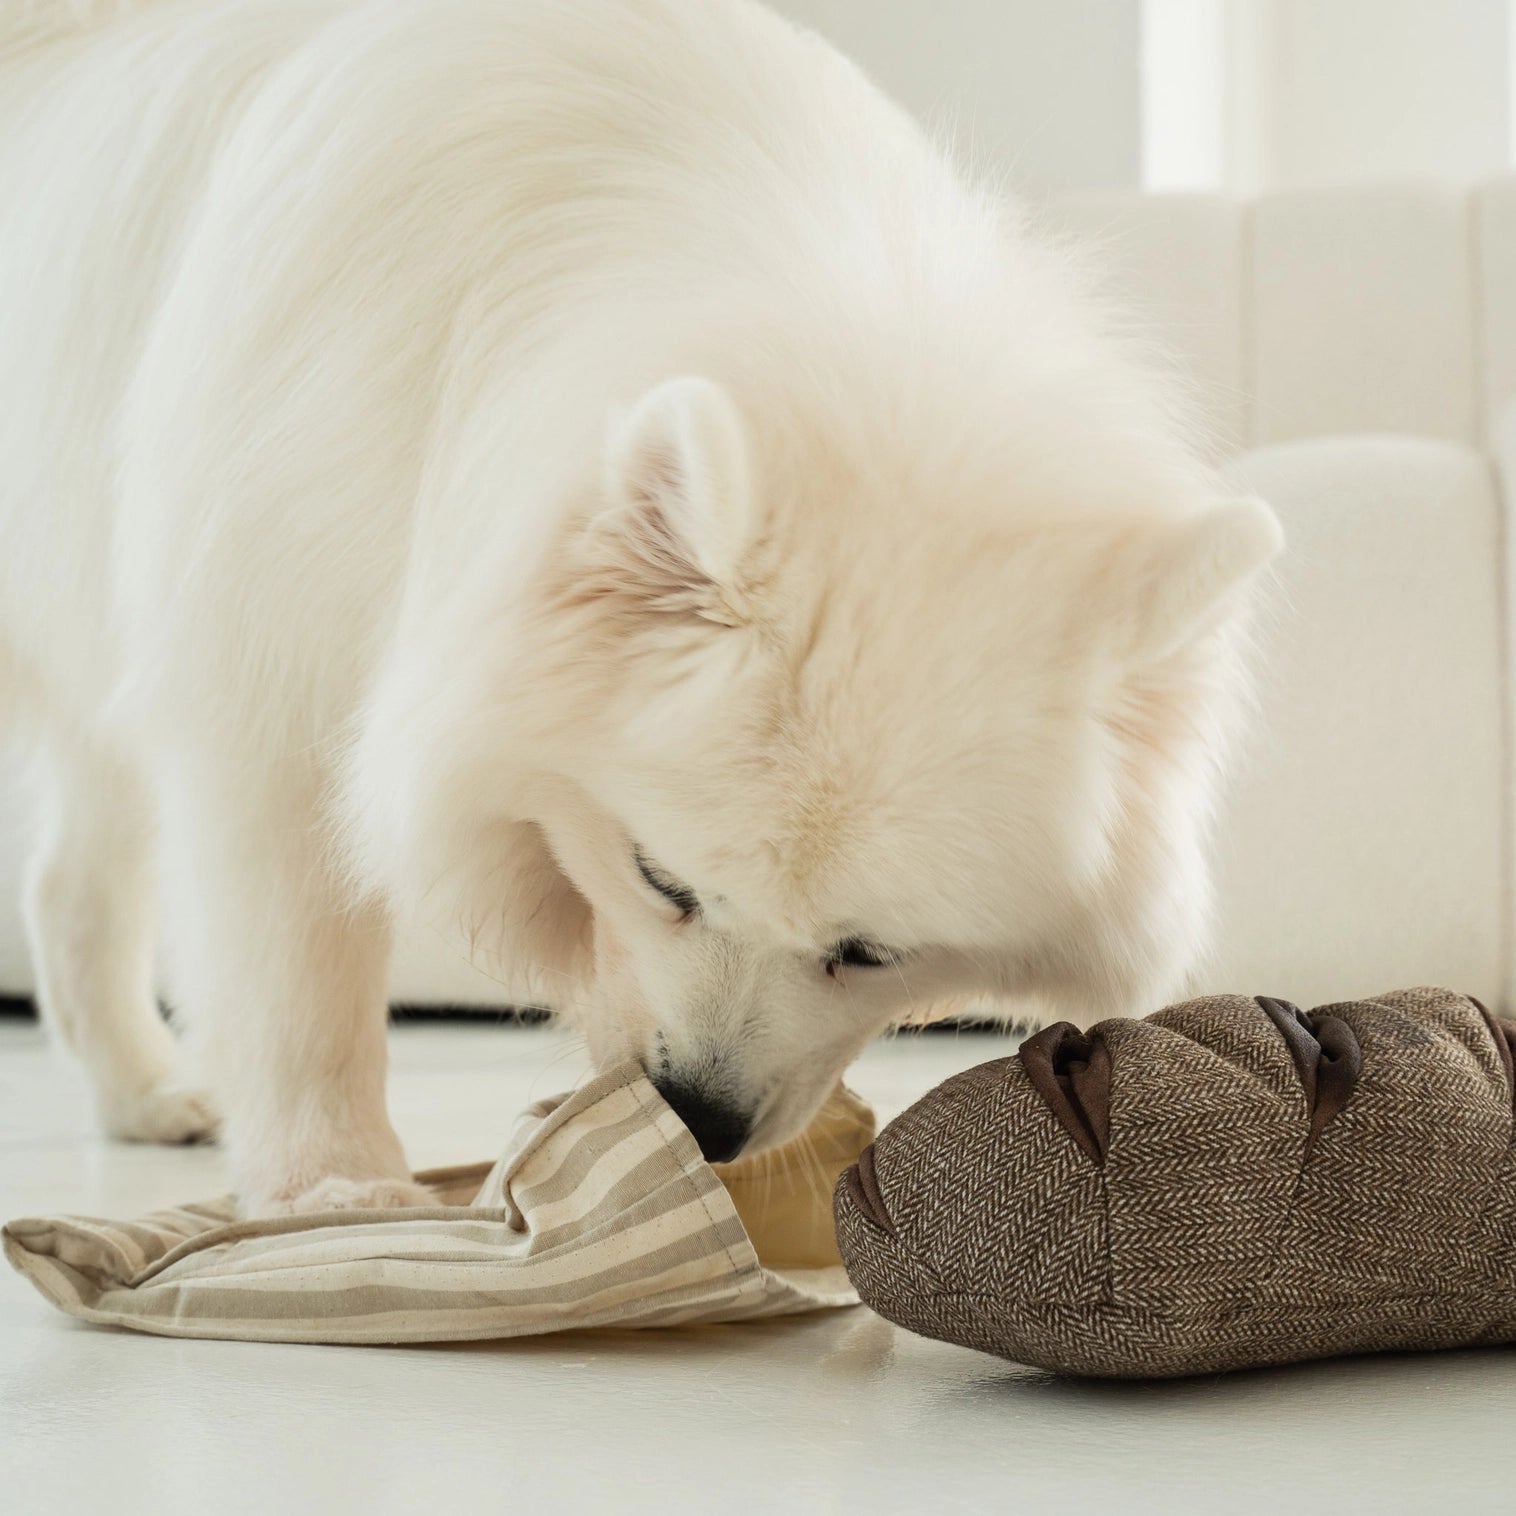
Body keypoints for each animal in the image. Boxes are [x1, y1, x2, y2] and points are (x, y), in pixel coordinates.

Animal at [0, 0, 1279, 1206]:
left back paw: (143, 1090)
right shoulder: (268, 693)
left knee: (68, 884)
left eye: (867, 951)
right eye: (661, 880)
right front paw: (333, 1184)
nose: (699, 1120)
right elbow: (298, 982)